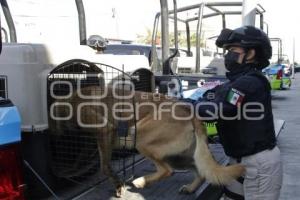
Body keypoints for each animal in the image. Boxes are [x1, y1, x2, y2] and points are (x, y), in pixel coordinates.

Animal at [50, 85, 245, 197]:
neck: (72, 100)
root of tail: (188, 110)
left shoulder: (104, 131)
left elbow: (105, 166)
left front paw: (118, 186)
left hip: (141, 139)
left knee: (167, 171)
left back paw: (141, 182)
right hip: (181, 157)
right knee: (201, 172)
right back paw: (190, 188)